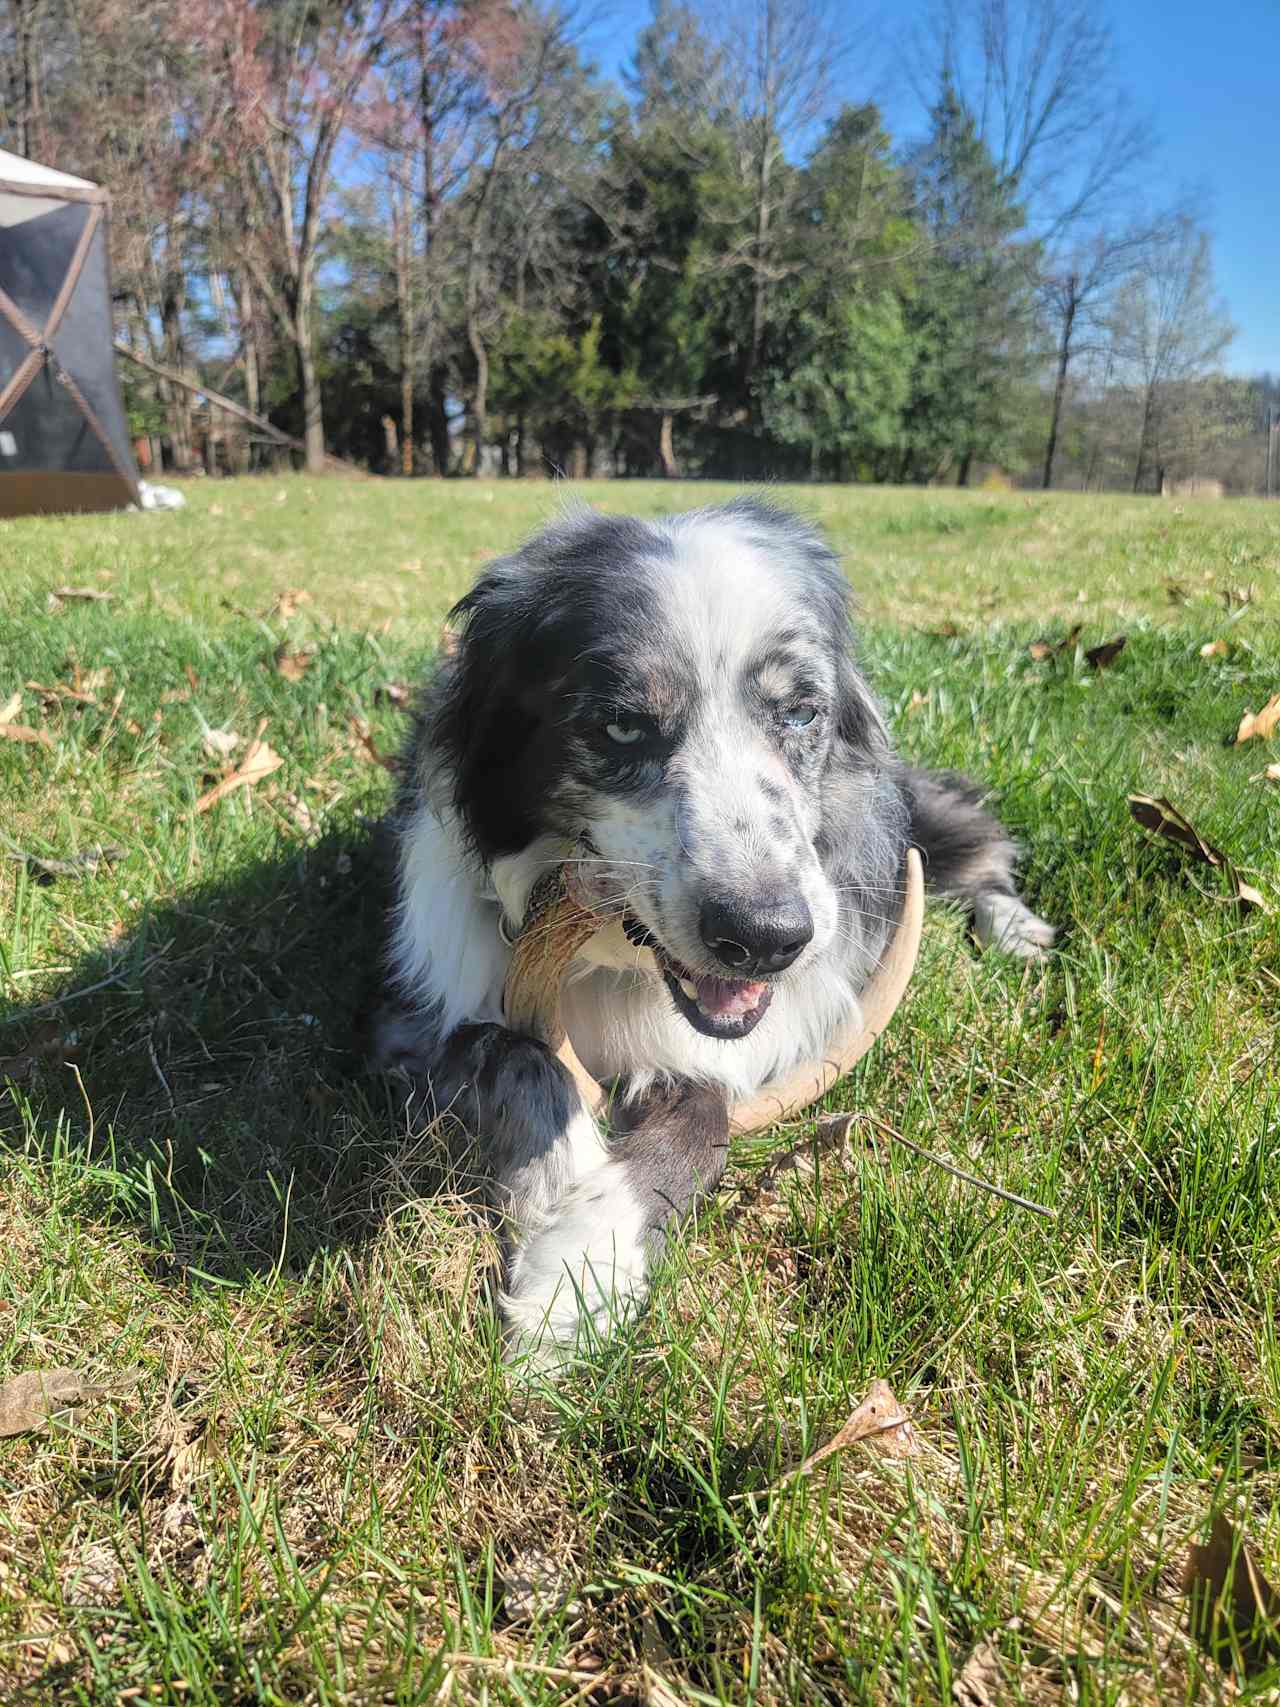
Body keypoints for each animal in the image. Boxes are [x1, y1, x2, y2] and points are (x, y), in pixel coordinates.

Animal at [375, 498, 1058, 1365]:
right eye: (621, 726)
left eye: (799, 711)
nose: (766, 937)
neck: (617, 963)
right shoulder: (411, 1024)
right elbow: (516, 1053)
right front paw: (558, 1187)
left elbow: (706, 1117)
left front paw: (582, 1269)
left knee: (972, 840)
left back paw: (1017, 926)